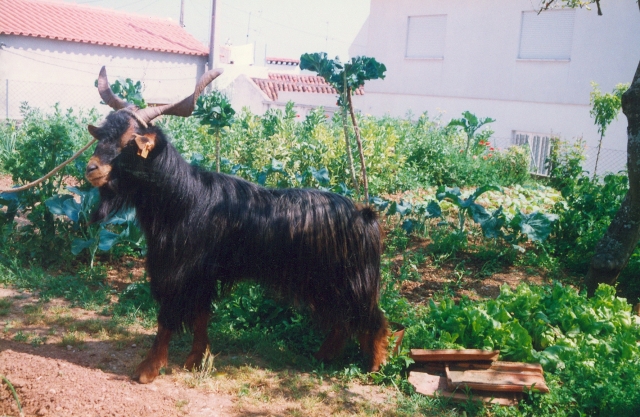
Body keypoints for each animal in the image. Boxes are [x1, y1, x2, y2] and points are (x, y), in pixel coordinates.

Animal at [85, 66, 390, 382]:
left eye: (129, 143)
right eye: (103, 136)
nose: (91, 168)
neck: (183, 199)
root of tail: (366, 215)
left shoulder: (179, 272)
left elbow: (167, 319)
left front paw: (149, 368)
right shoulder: (202, 275)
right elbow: (201, 316)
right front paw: (196, 360)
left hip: (350, 281)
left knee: (373, 318)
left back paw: (375, 365)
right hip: (327, 283)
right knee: (343, 320)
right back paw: (324, 357)